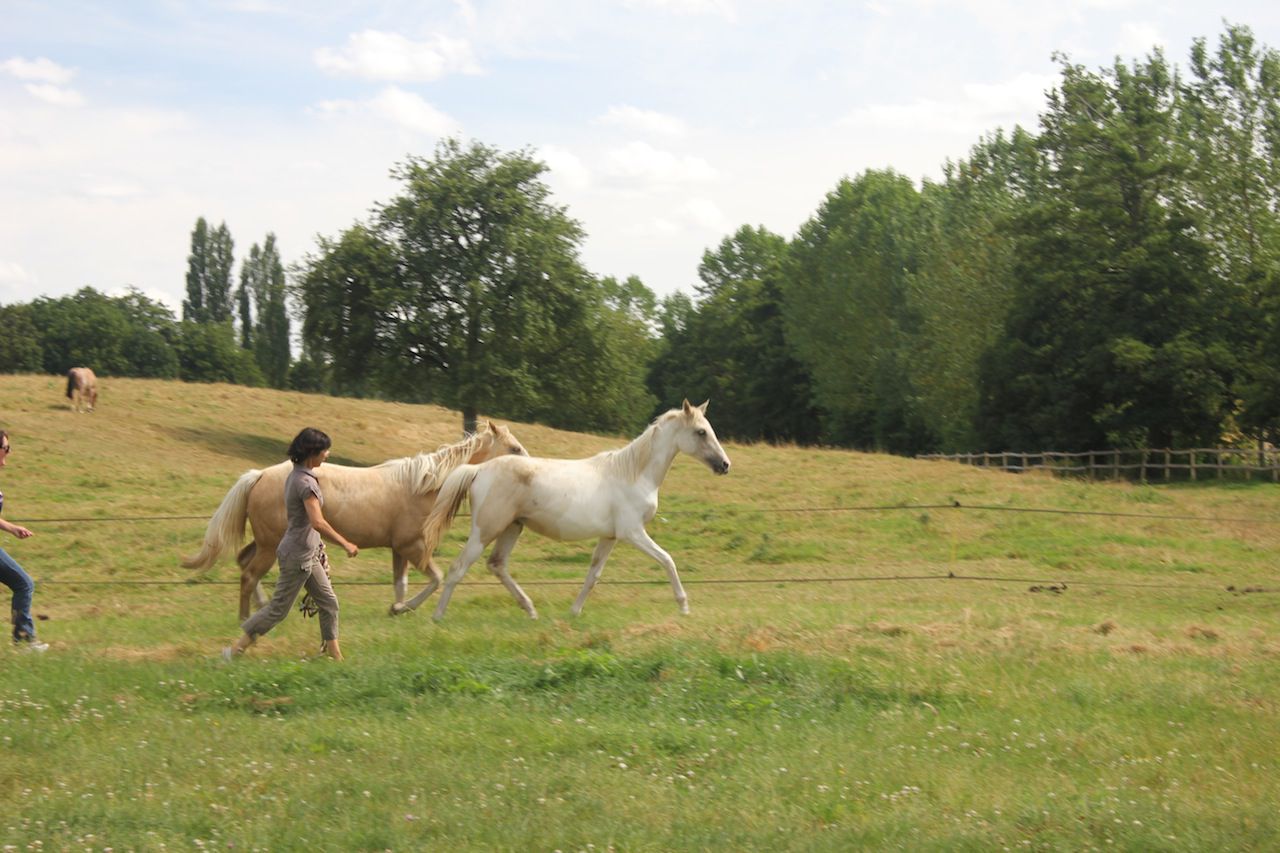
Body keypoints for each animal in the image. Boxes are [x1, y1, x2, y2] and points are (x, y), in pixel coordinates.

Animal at [181, 421, 528, 620]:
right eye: (514, 447)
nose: (531, 468)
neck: (425, 485)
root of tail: (259, 475)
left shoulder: (398, 549)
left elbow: (401, 584)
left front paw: (396, 608)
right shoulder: (413, 546)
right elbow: (437, 578)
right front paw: (404, 608)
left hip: (267, 541)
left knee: (244, 563)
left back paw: (262, 608)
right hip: (270, 545)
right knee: (249, 574)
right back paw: (246, 618)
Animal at [400, 399, 730, 621]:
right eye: (701, 432)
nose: (725, 465)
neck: (633, 474)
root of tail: (479, 470)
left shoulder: (609, 537)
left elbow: (593, 574)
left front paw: (574, 611)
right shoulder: (633, 532)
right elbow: (667, 560)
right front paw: (684, 605)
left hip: (512, 528)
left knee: (497, 565)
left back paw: (530, 610)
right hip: (485, 530)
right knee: (458, 568)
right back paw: (436, 616)